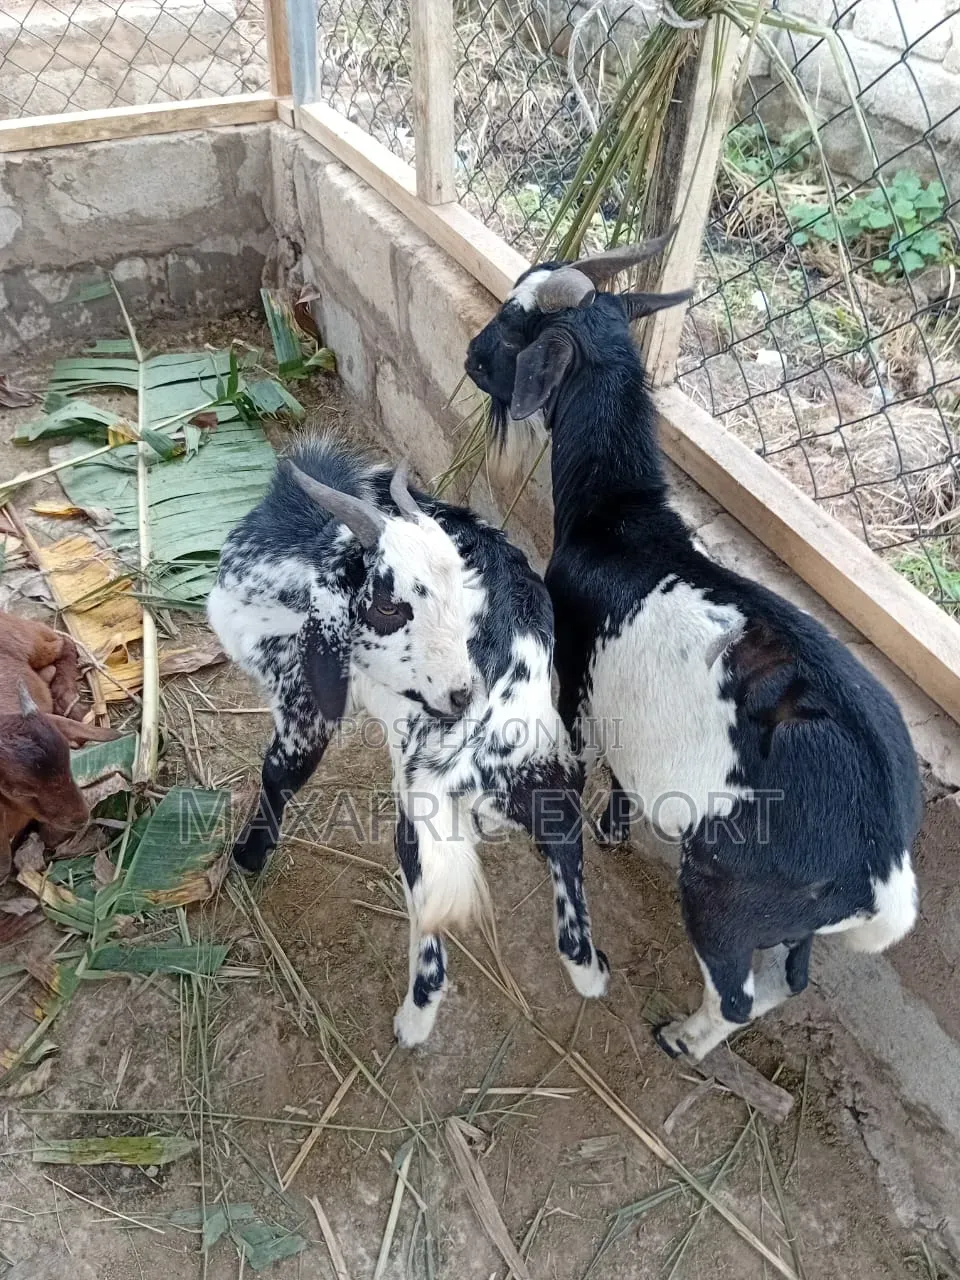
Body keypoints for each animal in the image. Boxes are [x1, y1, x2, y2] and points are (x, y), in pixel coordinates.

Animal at [207, 436, 608, 1046]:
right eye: (391, 605)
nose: (460, 691)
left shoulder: (300, 701)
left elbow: (278, 774)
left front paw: (247, 857)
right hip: (532, 757)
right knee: (562, 826)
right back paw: (588, 968)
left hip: (422, 793)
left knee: (431, 898)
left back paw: (414, 1020)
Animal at [464, 238, 923, 1062]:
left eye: (515, 324)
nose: (468, 357)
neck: (621, 523)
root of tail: (885, 877)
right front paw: (614, 832)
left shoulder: (572, 676)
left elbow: (577, 756)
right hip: (787, 920)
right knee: (785, 982)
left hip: (724, 892)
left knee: (738, 995)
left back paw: (682, 1039)